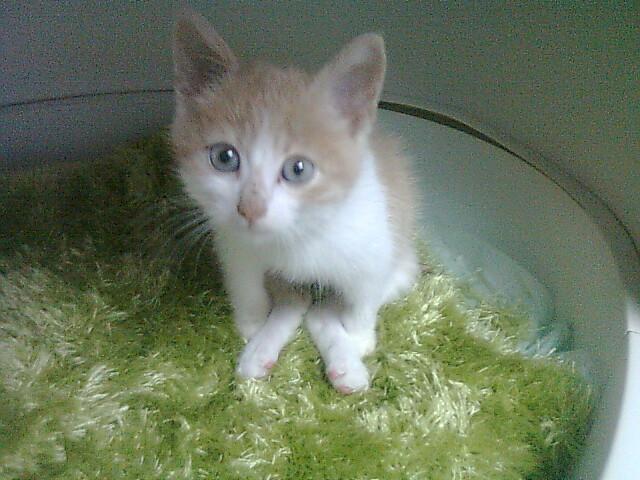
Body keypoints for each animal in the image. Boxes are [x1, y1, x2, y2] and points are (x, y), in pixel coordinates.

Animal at [171, 10, 418, 393]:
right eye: (224, 157)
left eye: (298, 169)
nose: (250, 209)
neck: (297, 237)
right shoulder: (233, 245)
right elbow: (245, 282)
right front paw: (252, 323)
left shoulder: (375, 246)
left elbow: (362, 296)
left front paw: (357, 338)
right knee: (297, 299)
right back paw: (262, 350)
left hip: (405, 261)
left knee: (323, 306)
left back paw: (346, 364)